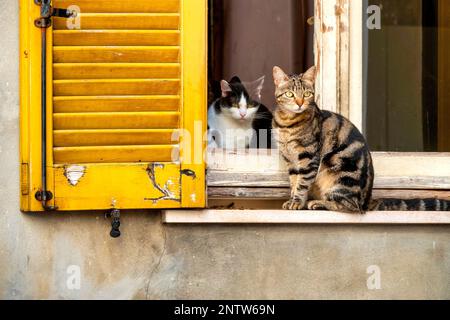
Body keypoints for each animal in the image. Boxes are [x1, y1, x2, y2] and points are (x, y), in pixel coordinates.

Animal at [270, 65, 450, 212]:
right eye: (290, 94)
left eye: (307, 94)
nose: (300, 103)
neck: (287, 123)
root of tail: (368, 200)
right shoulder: (290, 160)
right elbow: (294, 182)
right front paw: (292, 200)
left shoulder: (308, 158)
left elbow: (302, 184)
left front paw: (297, 202)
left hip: (339, 171)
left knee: (350, 206)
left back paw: (318, 203)